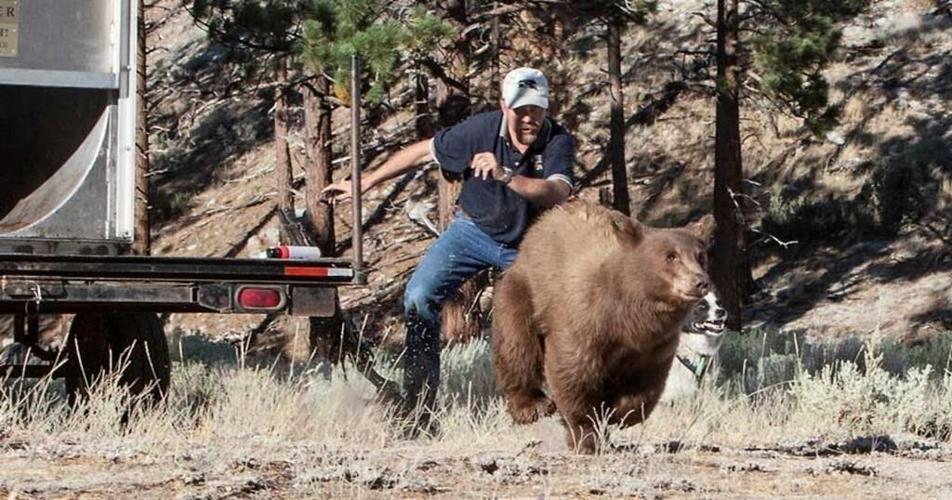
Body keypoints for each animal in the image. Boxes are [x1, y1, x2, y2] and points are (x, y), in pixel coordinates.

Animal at [492, 200, 714, 453]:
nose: (700, 281)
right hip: (522, 295)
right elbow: (573, 373)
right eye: (670, 256)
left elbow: (644, 387)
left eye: (701, 256)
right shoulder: (585, 321)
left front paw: (615, 413)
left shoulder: (654, 346)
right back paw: (531, 406)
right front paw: (586, 436)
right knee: (518, 348)